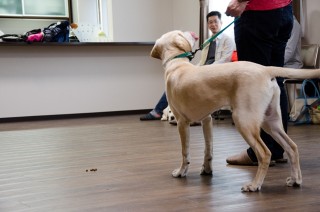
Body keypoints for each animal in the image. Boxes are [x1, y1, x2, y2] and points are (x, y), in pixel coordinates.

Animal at [151, 30, 320, 192]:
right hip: (271, 122)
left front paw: (181, 172)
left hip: (243, 120)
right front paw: (207, 170)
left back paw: (255, 185)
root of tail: (264, 69)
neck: (177, 63)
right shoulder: (207, 120)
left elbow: (184, 152)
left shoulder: (182, 122)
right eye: (182, 33)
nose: (193, 34)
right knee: (292, 147)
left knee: (265, 153)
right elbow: (208, 149)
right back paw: (296, 180)